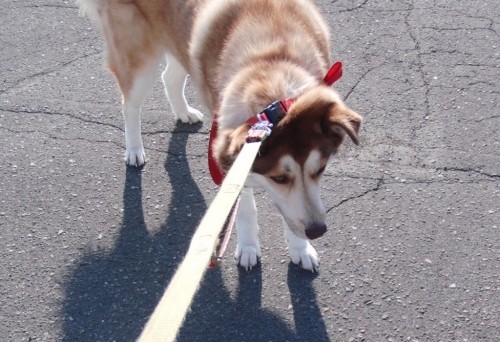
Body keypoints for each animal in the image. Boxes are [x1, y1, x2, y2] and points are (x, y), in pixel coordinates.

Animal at [77, 0, 360, 272]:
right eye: (279, 177)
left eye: (320, 170)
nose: (317, 231)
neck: (272, 65)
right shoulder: (234, 156)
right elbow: (245, 209)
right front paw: (248, 247)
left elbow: (290, 214)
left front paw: (301, 250)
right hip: (138, 58)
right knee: (130, 104)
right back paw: (135, 149)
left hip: (180, 42)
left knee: (169, 77)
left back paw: (184, 113)